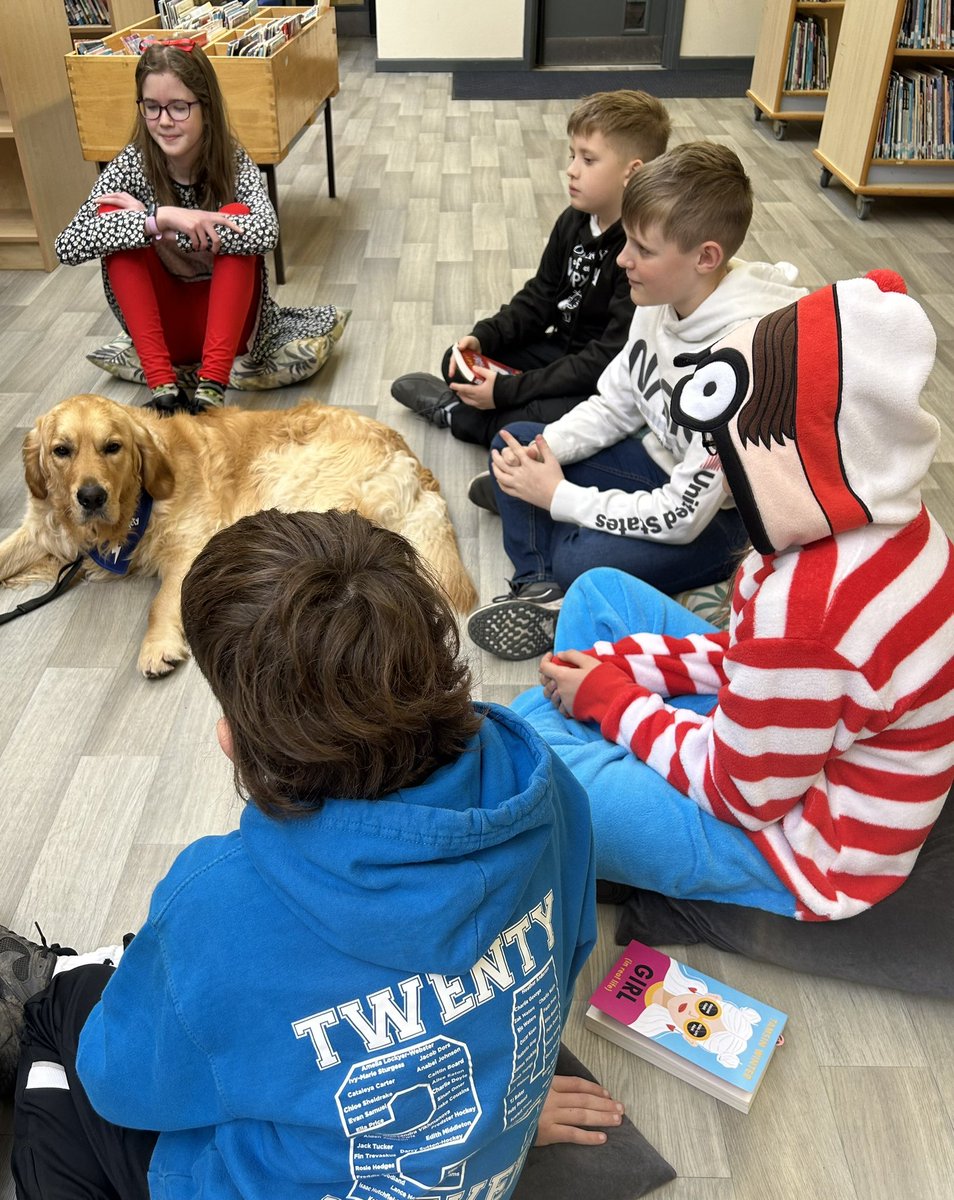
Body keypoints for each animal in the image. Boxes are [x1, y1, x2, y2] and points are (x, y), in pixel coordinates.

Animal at [0, 393, 477, 676]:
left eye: (112, 447)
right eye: (61, 451)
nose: (91, 496)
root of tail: (407, 453)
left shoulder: (189, 544)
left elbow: (160, 603)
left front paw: (157, 646)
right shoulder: (41, 529)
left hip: (293, 482)